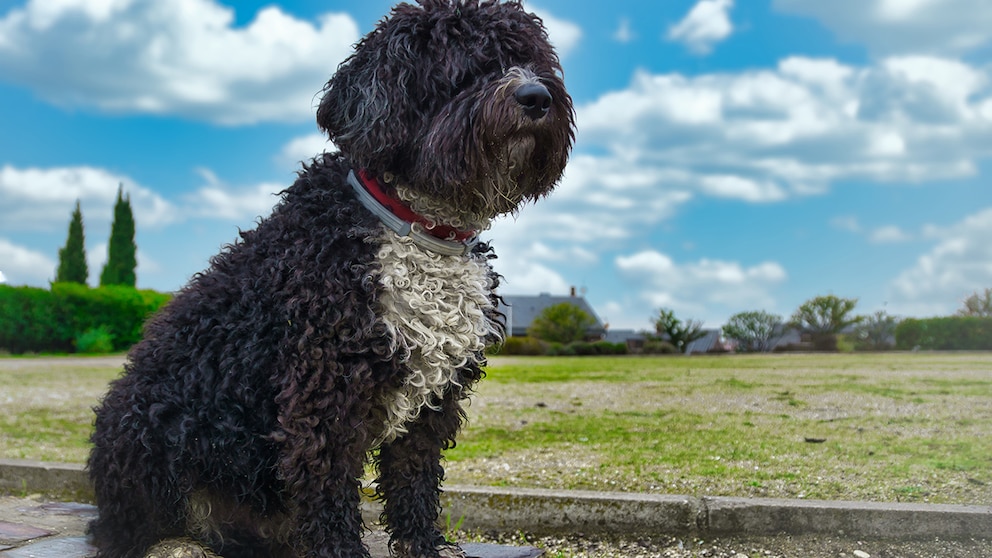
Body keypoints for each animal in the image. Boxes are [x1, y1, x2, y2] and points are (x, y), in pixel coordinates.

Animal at [90, 1, 576, 558]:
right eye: (465, 68)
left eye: (532, 61)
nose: (536, 97)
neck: (417, 227)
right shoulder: (323, 392)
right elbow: (328, 491)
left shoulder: (431, 403)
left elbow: (414, 483)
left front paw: (423, 545)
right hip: (144, 421)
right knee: (131, 531)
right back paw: (177, 545)